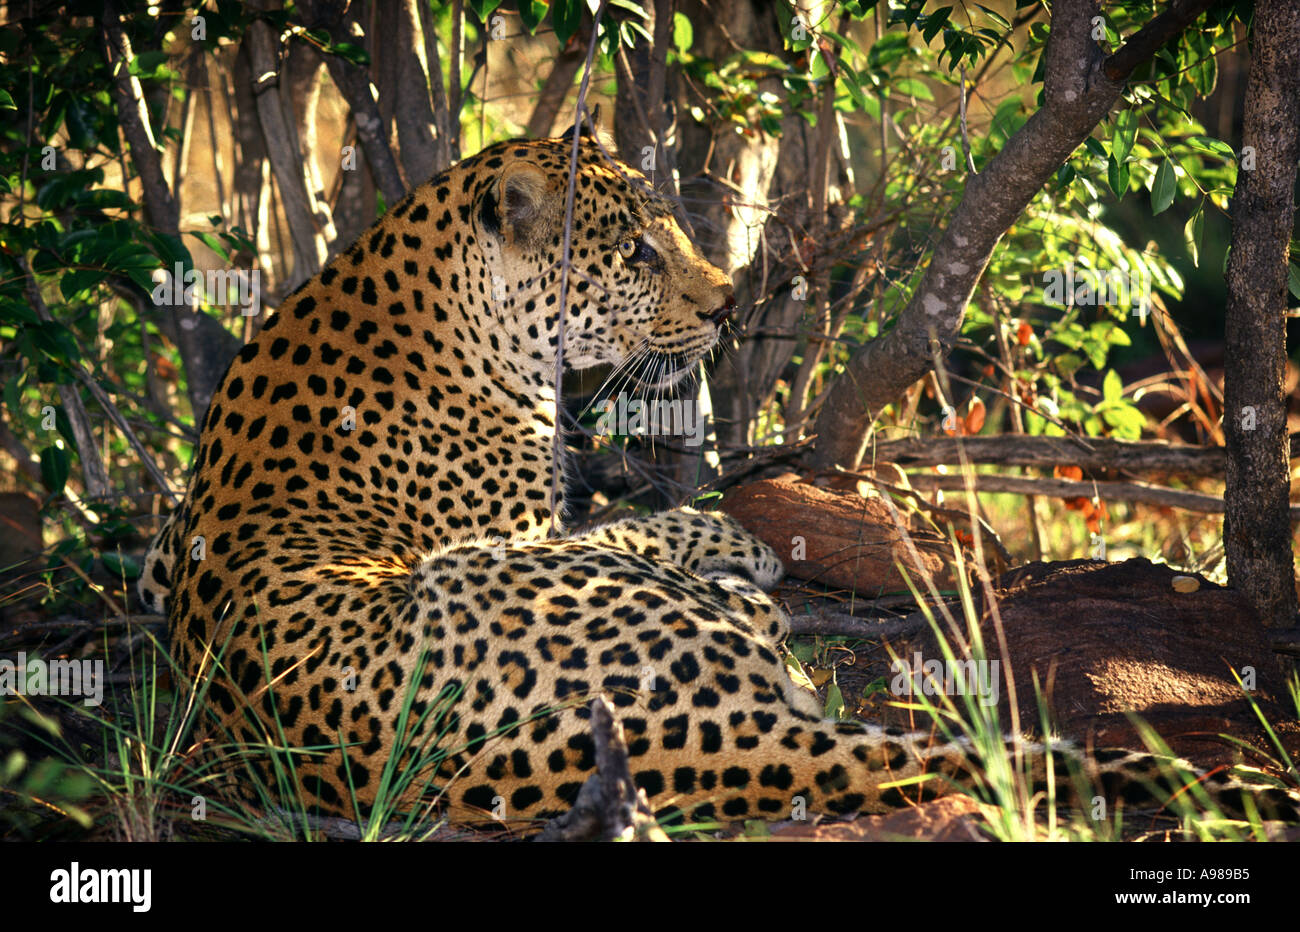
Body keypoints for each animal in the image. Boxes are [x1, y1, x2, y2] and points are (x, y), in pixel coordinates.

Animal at [141, 127, 1300, 830]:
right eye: (637, 255)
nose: (730, 302)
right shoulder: (522, 529)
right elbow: (627, 521)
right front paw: (729, 533)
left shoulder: (163, 547)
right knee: (761, 632)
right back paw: (752, 581)